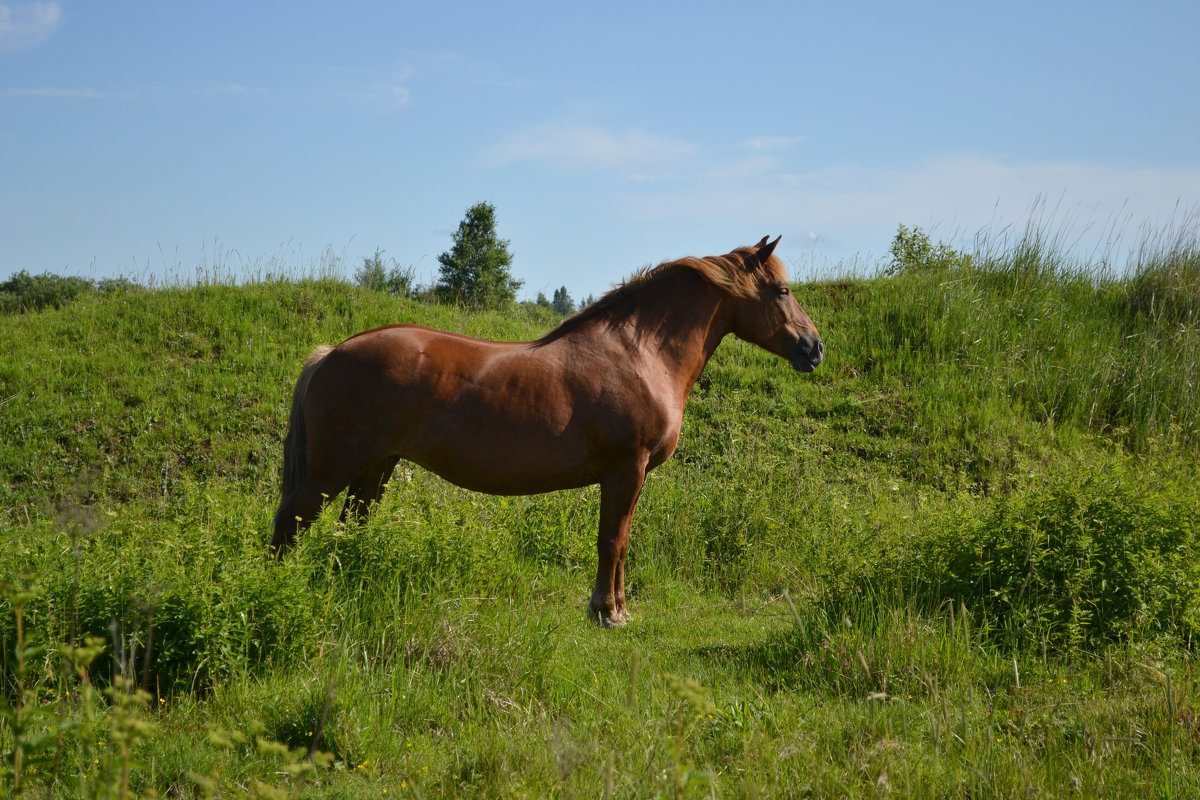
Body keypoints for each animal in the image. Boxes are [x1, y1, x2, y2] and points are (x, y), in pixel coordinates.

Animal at [272, 236, 820, 623]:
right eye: (783, 291)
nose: (814, 347)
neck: (639, 353)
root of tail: (332, 353)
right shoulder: (626, 470)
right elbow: (612, 540)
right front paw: (608, 612)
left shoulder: (630, 476)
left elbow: (621, 540)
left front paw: (618, 608)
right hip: (331, 471)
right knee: (289, 525)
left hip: (375, 469)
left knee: (348, 527)